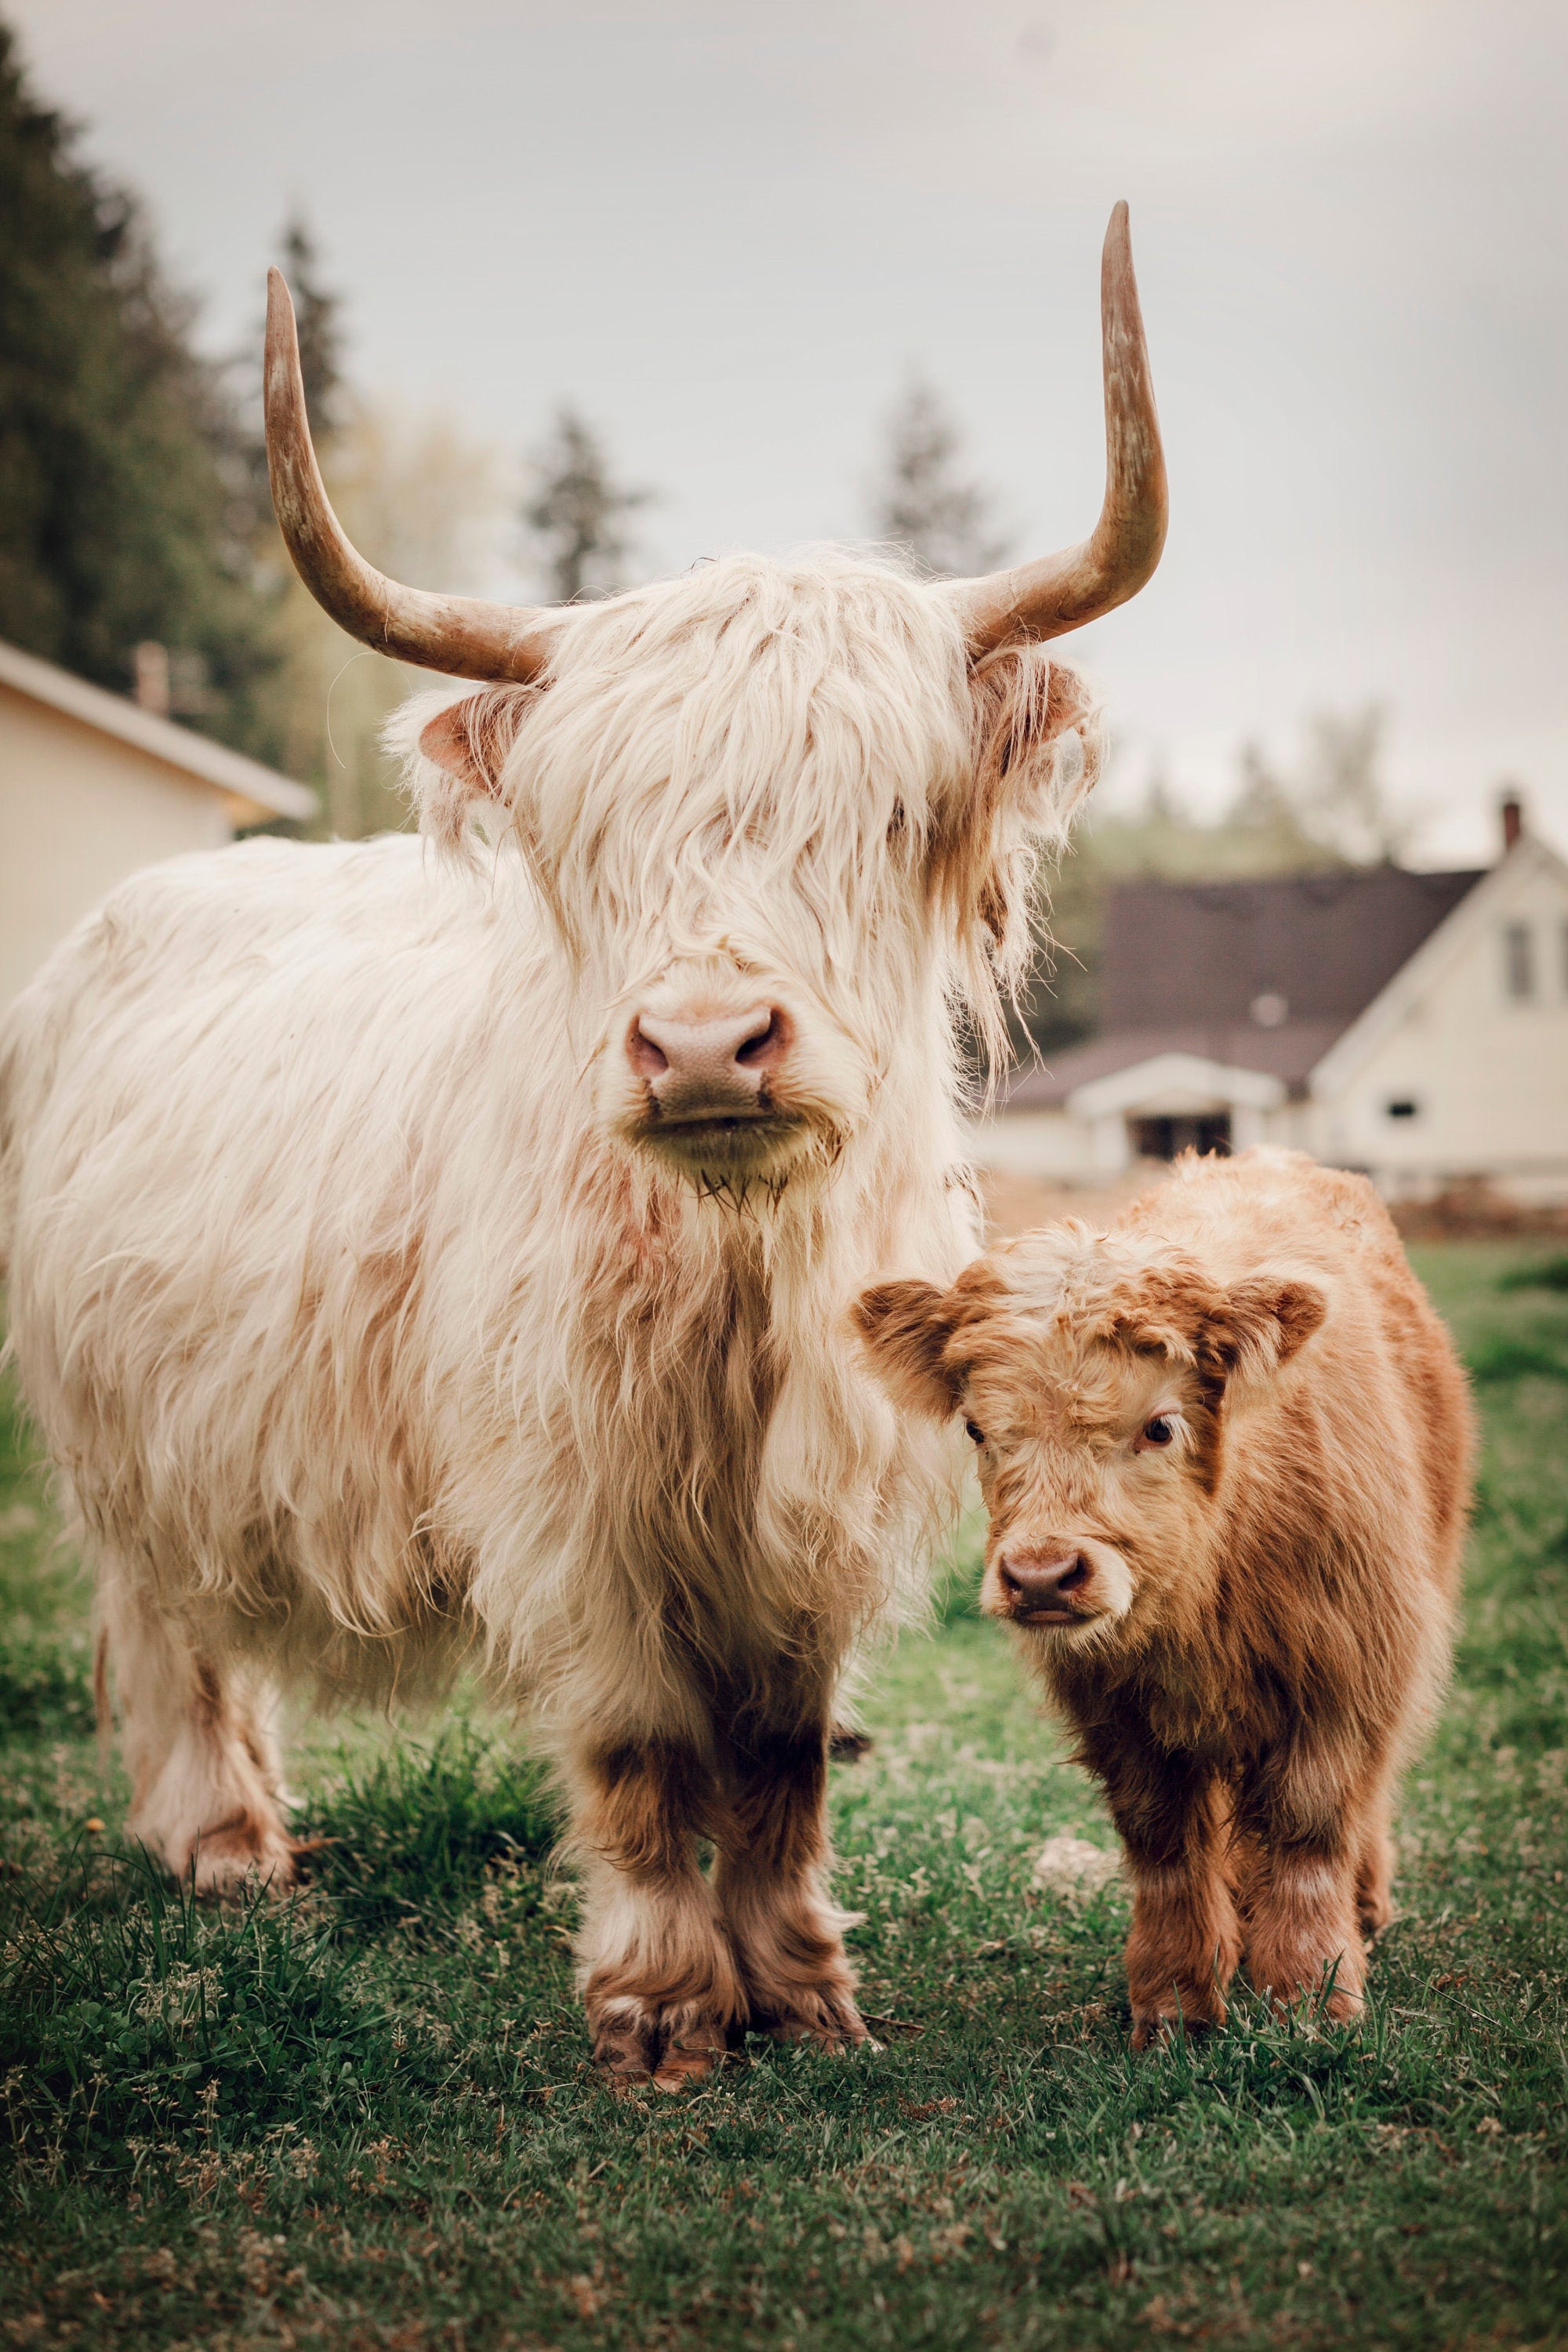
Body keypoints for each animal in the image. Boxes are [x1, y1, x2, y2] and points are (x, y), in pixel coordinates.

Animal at [0, 209, 1165, 2089]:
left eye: (882, 811)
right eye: (588, 829)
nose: (702, 1043)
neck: (734, 1283)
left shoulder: (812, 1523)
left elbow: (779, 1760)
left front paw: (801, 1991)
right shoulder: (568, 1501)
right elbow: (635, 1752)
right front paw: (661, 2009)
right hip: (120, 1432)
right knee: (167, 1625)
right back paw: (224, 1843)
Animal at [853, 1150, 1472, 2046]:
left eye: (1159, 1425)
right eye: (976, 1428)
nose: (1042, 1575)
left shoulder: (1344, 1675)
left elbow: (1307, 1835)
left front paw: (1310, 2002)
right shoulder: (1119, 1718)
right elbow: (1165, 1848)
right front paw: (1176, 2005)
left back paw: (1362, 1907)